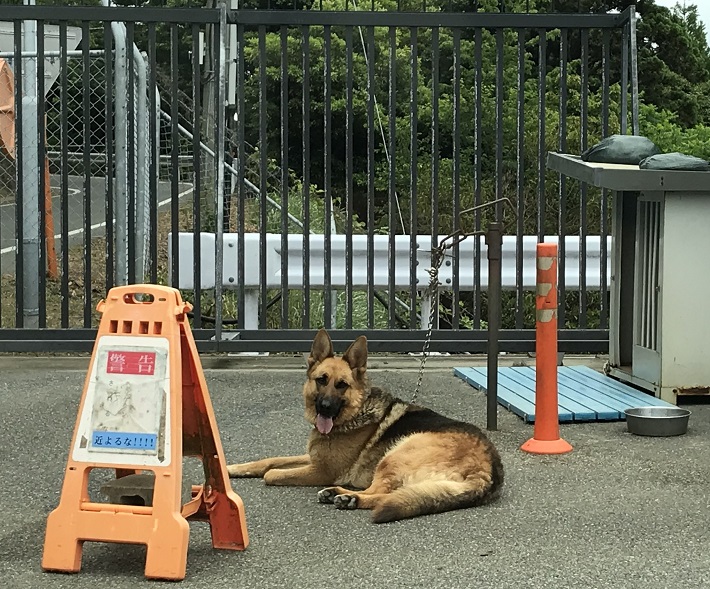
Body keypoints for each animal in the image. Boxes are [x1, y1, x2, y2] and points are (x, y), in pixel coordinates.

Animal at [229, 328, 506, 520]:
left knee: (381, 493)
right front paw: (234, 468)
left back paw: (347, 497)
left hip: (397, 454)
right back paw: (338, 494)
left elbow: (272, 474)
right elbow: (270, 460)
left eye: (342, 385)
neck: (355, 413)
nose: (324, 407)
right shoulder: (313, 457)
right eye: (321, 380)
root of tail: (488, 467)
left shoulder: (322, 470)